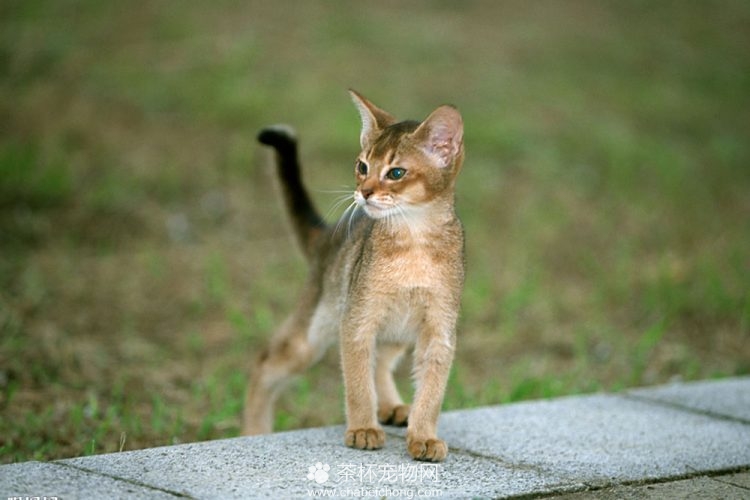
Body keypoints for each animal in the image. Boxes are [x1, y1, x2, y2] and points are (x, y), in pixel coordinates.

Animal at [242, 90, 464, 460]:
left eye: (396, 172)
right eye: (362, 166)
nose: (364, 192)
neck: (414, 243)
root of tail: (328, 234)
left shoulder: (439, 331)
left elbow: (431, 393)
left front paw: (423, 436)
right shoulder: (358, 320)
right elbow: (358, 383)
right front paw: (363, 429)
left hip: (397, 330)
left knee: (381, 361)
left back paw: (392, 407)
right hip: (312, 336)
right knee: (263, 363)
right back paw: (254, 430)